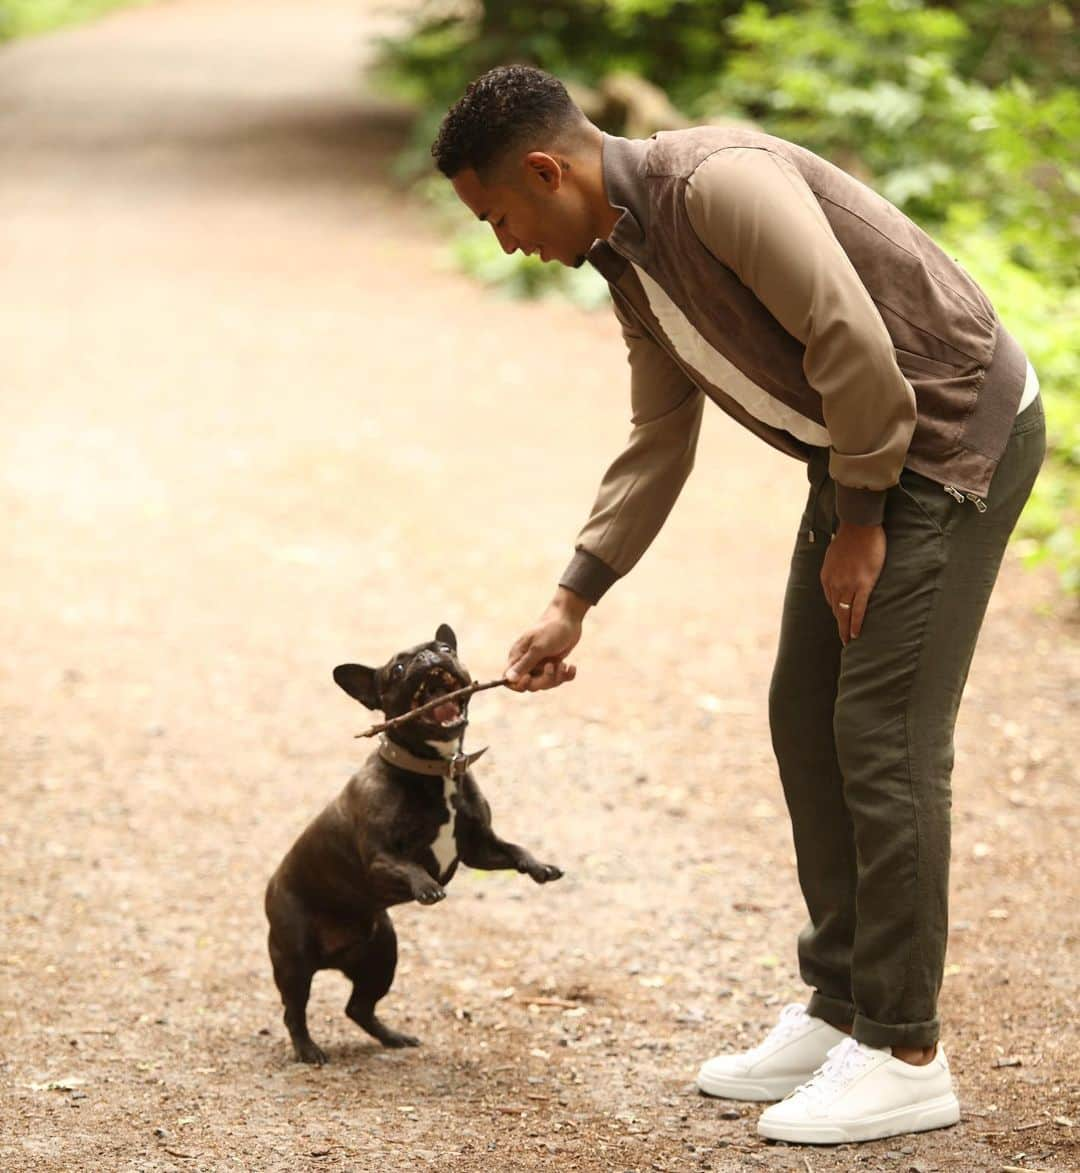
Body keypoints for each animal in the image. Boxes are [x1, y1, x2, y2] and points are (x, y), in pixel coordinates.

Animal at [265, 624, 565, 1065]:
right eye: (398, 669)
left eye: (444, 648)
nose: (429, 655)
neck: (437, 770)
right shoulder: (380, 859)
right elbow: (408, 865)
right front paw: (427, 886)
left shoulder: (479, 847)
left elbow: (513, 849)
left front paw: (540, 866)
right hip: (295, 960)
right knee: (294, 1009)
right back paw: (308, 1049)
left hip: (381, 955)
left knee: (358, 1007)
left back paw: (393, 1037)